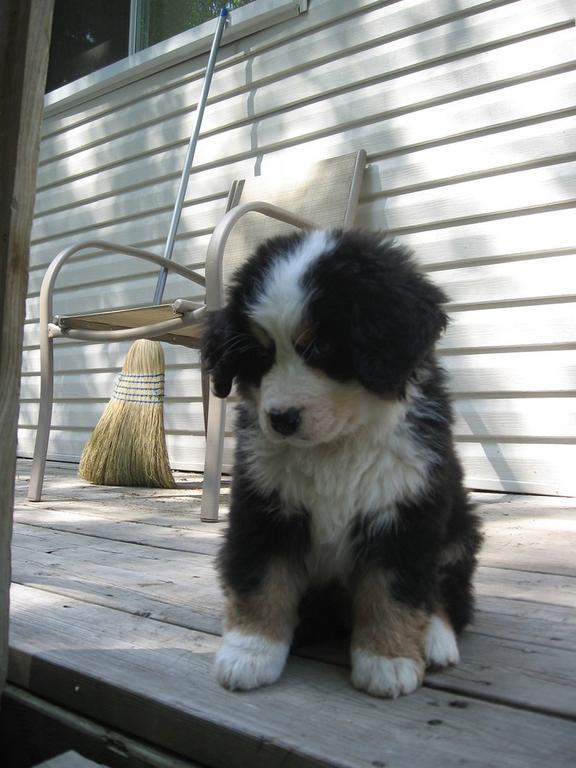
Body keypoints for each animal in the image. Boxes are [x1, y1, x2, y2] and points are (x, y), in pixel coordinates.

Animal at [202, 226, 482, 696]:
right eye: (260, 355)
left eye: (320, 347)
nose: (281, 418)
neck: (336, 447)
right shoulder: (265, 507)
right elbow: (262, 580)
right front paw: (249, 652)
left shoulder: (403, 512)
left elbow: (393, 590)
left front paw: (387, 660)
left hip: (459, 529)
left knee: (449, 594)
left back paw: (435, 639)